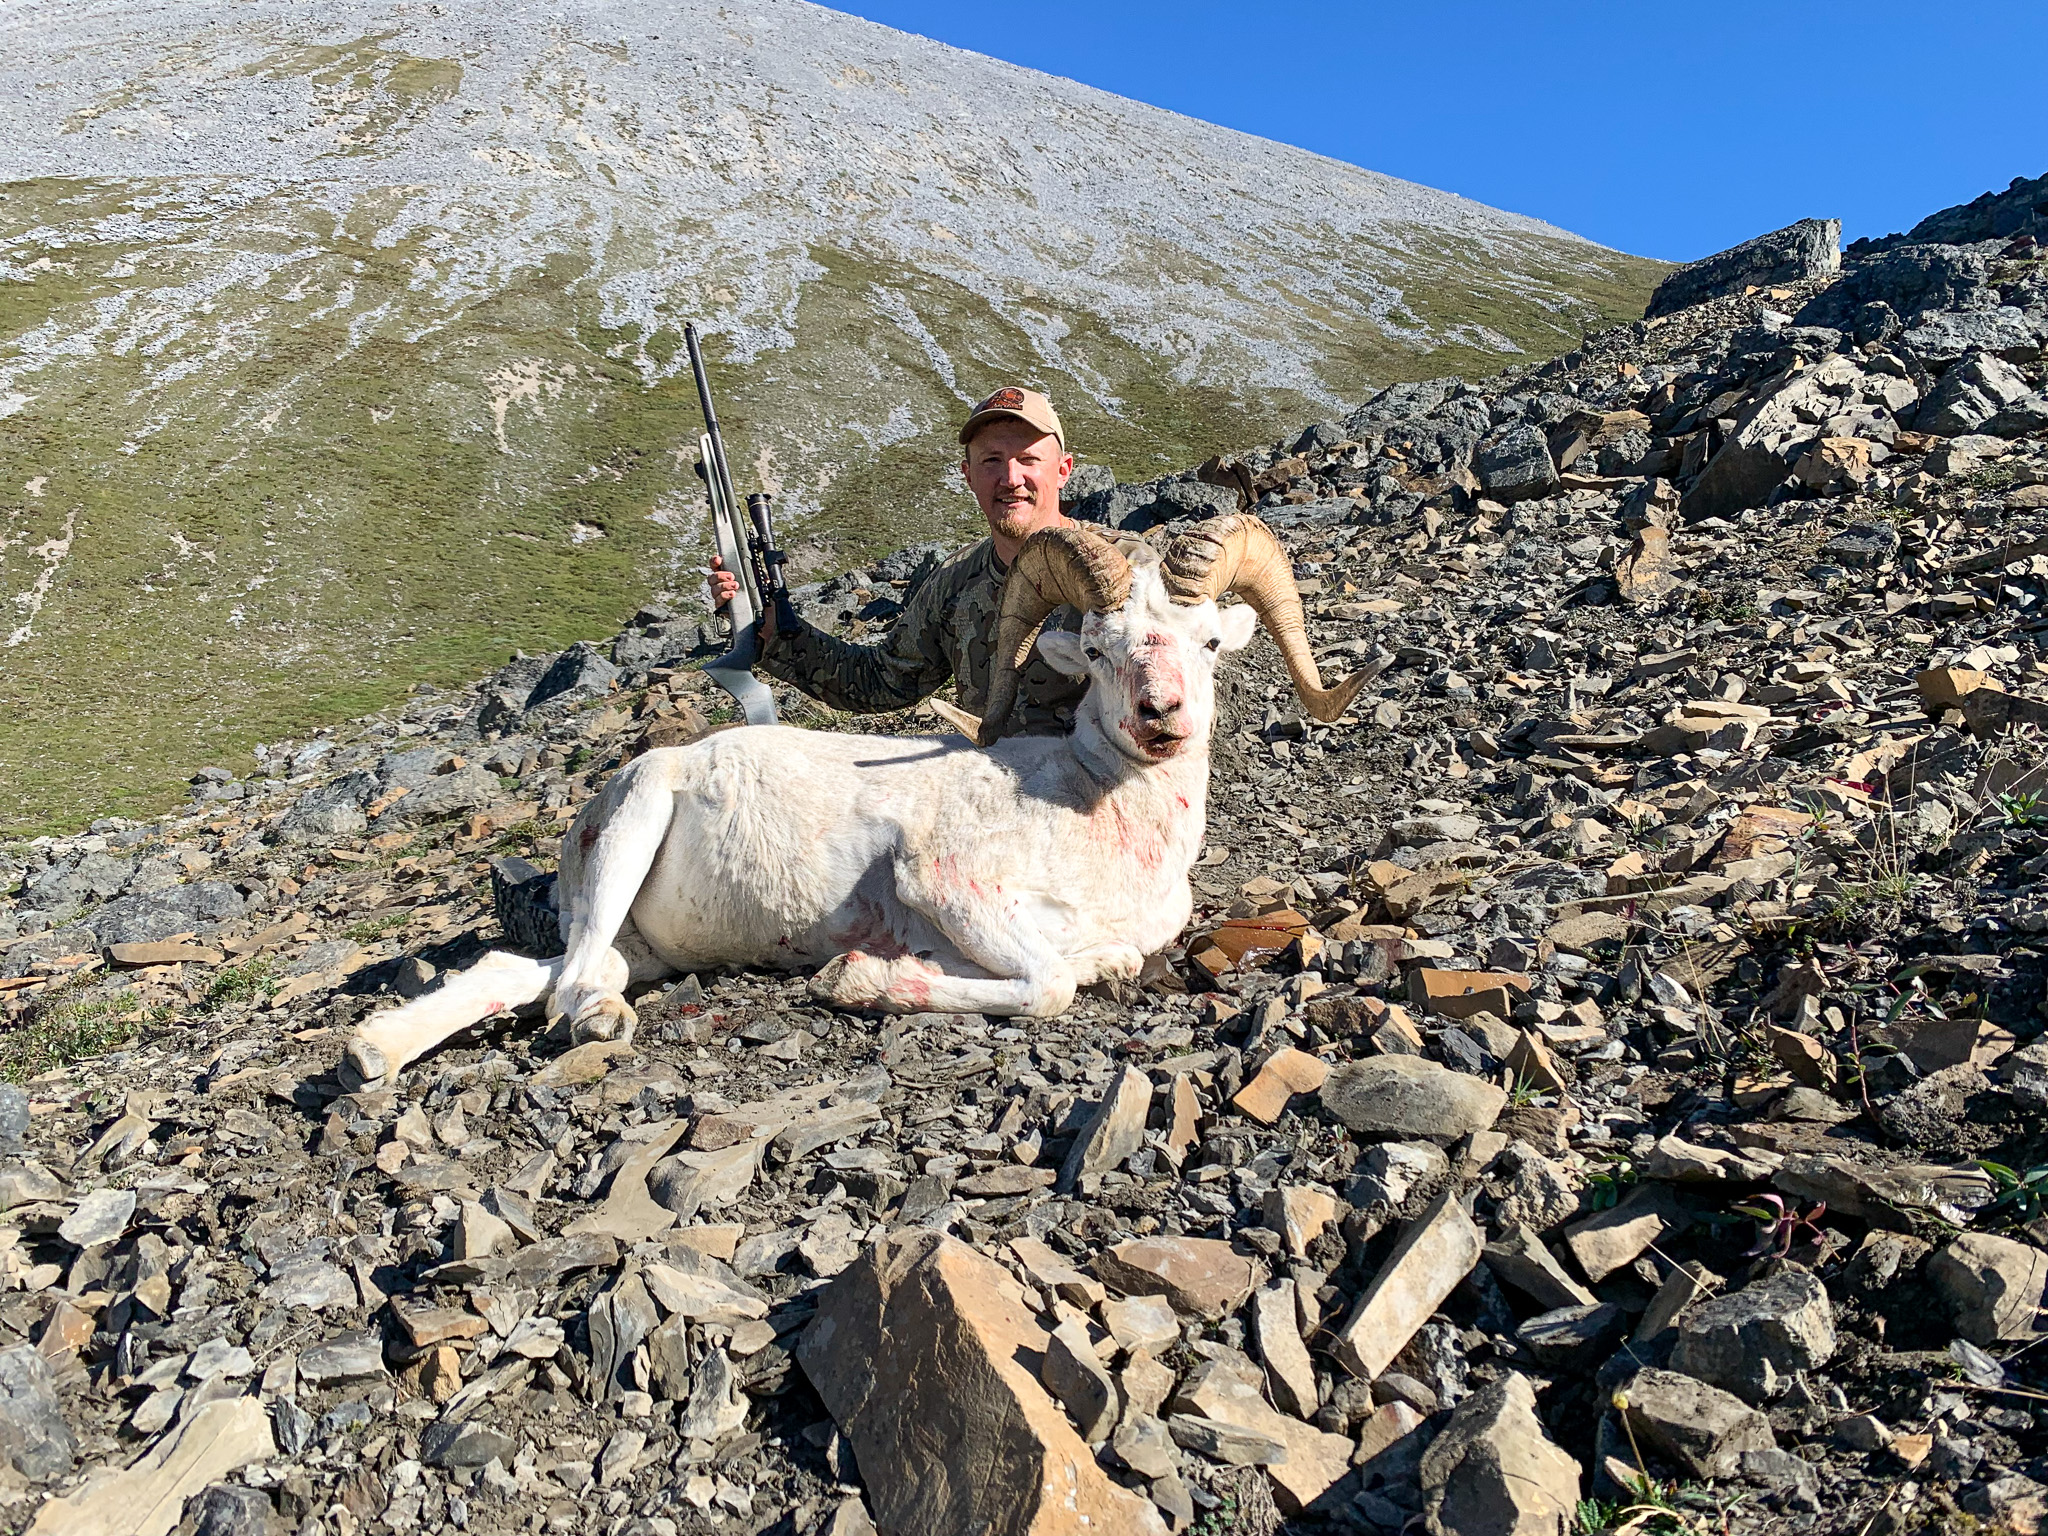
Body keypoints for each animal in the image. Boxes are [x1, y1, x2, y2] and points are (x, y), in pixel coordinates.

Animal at [340, 515, 1365, 1089]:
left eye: (1206, 641)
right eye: (1101, 649)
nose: (1161, 717)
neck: (1093, 815)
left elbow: (1089, 967)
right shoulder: (947, 887)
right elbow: (1047, 986)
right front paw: (856, 981)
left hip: (645, 940)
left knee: (524, 972)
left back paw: (371, 1055)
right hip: (632, 831)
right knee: (571, 985)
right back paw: (591, 1027)